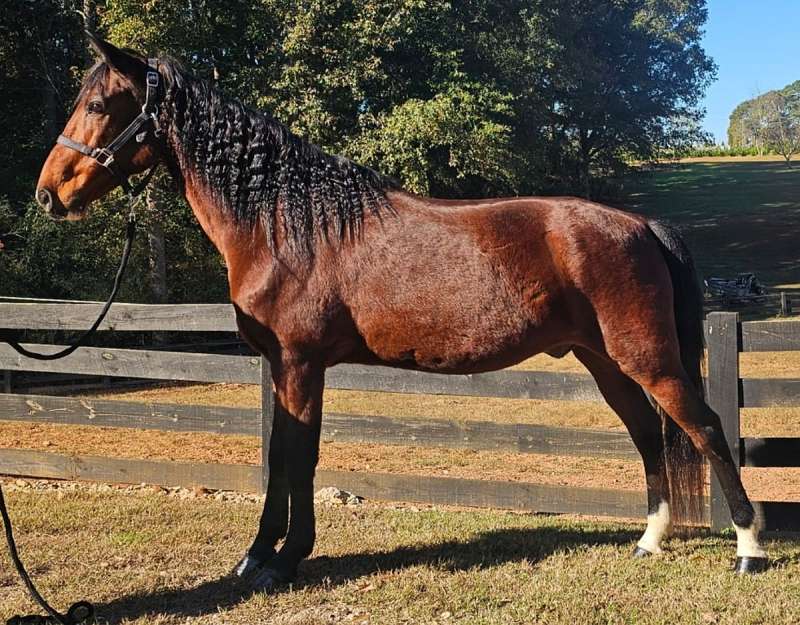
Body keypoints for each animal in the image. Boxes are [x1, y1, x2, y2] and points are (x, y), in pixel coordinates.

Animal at [34, 34, 768, 588]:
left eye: (98, 103)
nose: (47, 194)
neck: (288, 224)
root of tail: (640, 224)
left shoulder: (299, 364)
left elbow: (295, 456)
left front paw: (279, 559)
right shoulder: (288, 367)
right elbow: (286, 455)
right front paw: (267, 553)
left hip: (648, 357)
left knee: (704, 428)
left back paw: (748, 550)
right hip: (606, 361)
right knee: (647, 433)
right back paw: (650, 540)